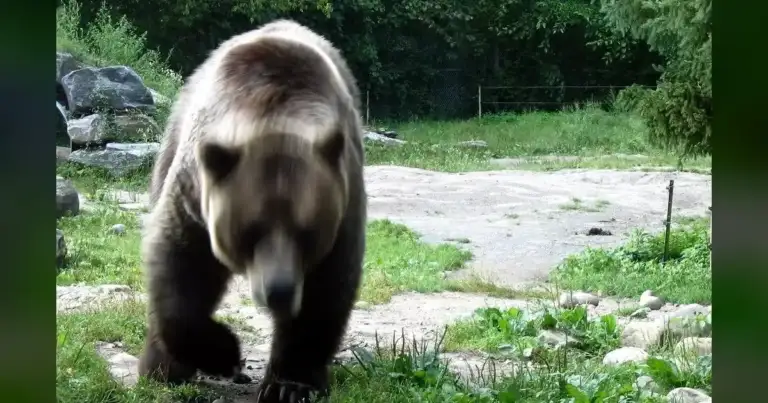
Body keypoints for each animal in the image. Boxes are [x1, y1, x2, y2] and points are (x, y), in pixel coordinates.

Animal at [137, 19, 366, 403]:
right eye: (249, 231)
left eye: (308, 233)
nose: (279, 291)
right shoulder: (194, 194)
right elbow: (179, 264)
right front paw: (223, 353)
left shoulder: (344, 197)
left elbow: (326, 287)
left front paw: (288, 385)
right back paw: (161, 367)